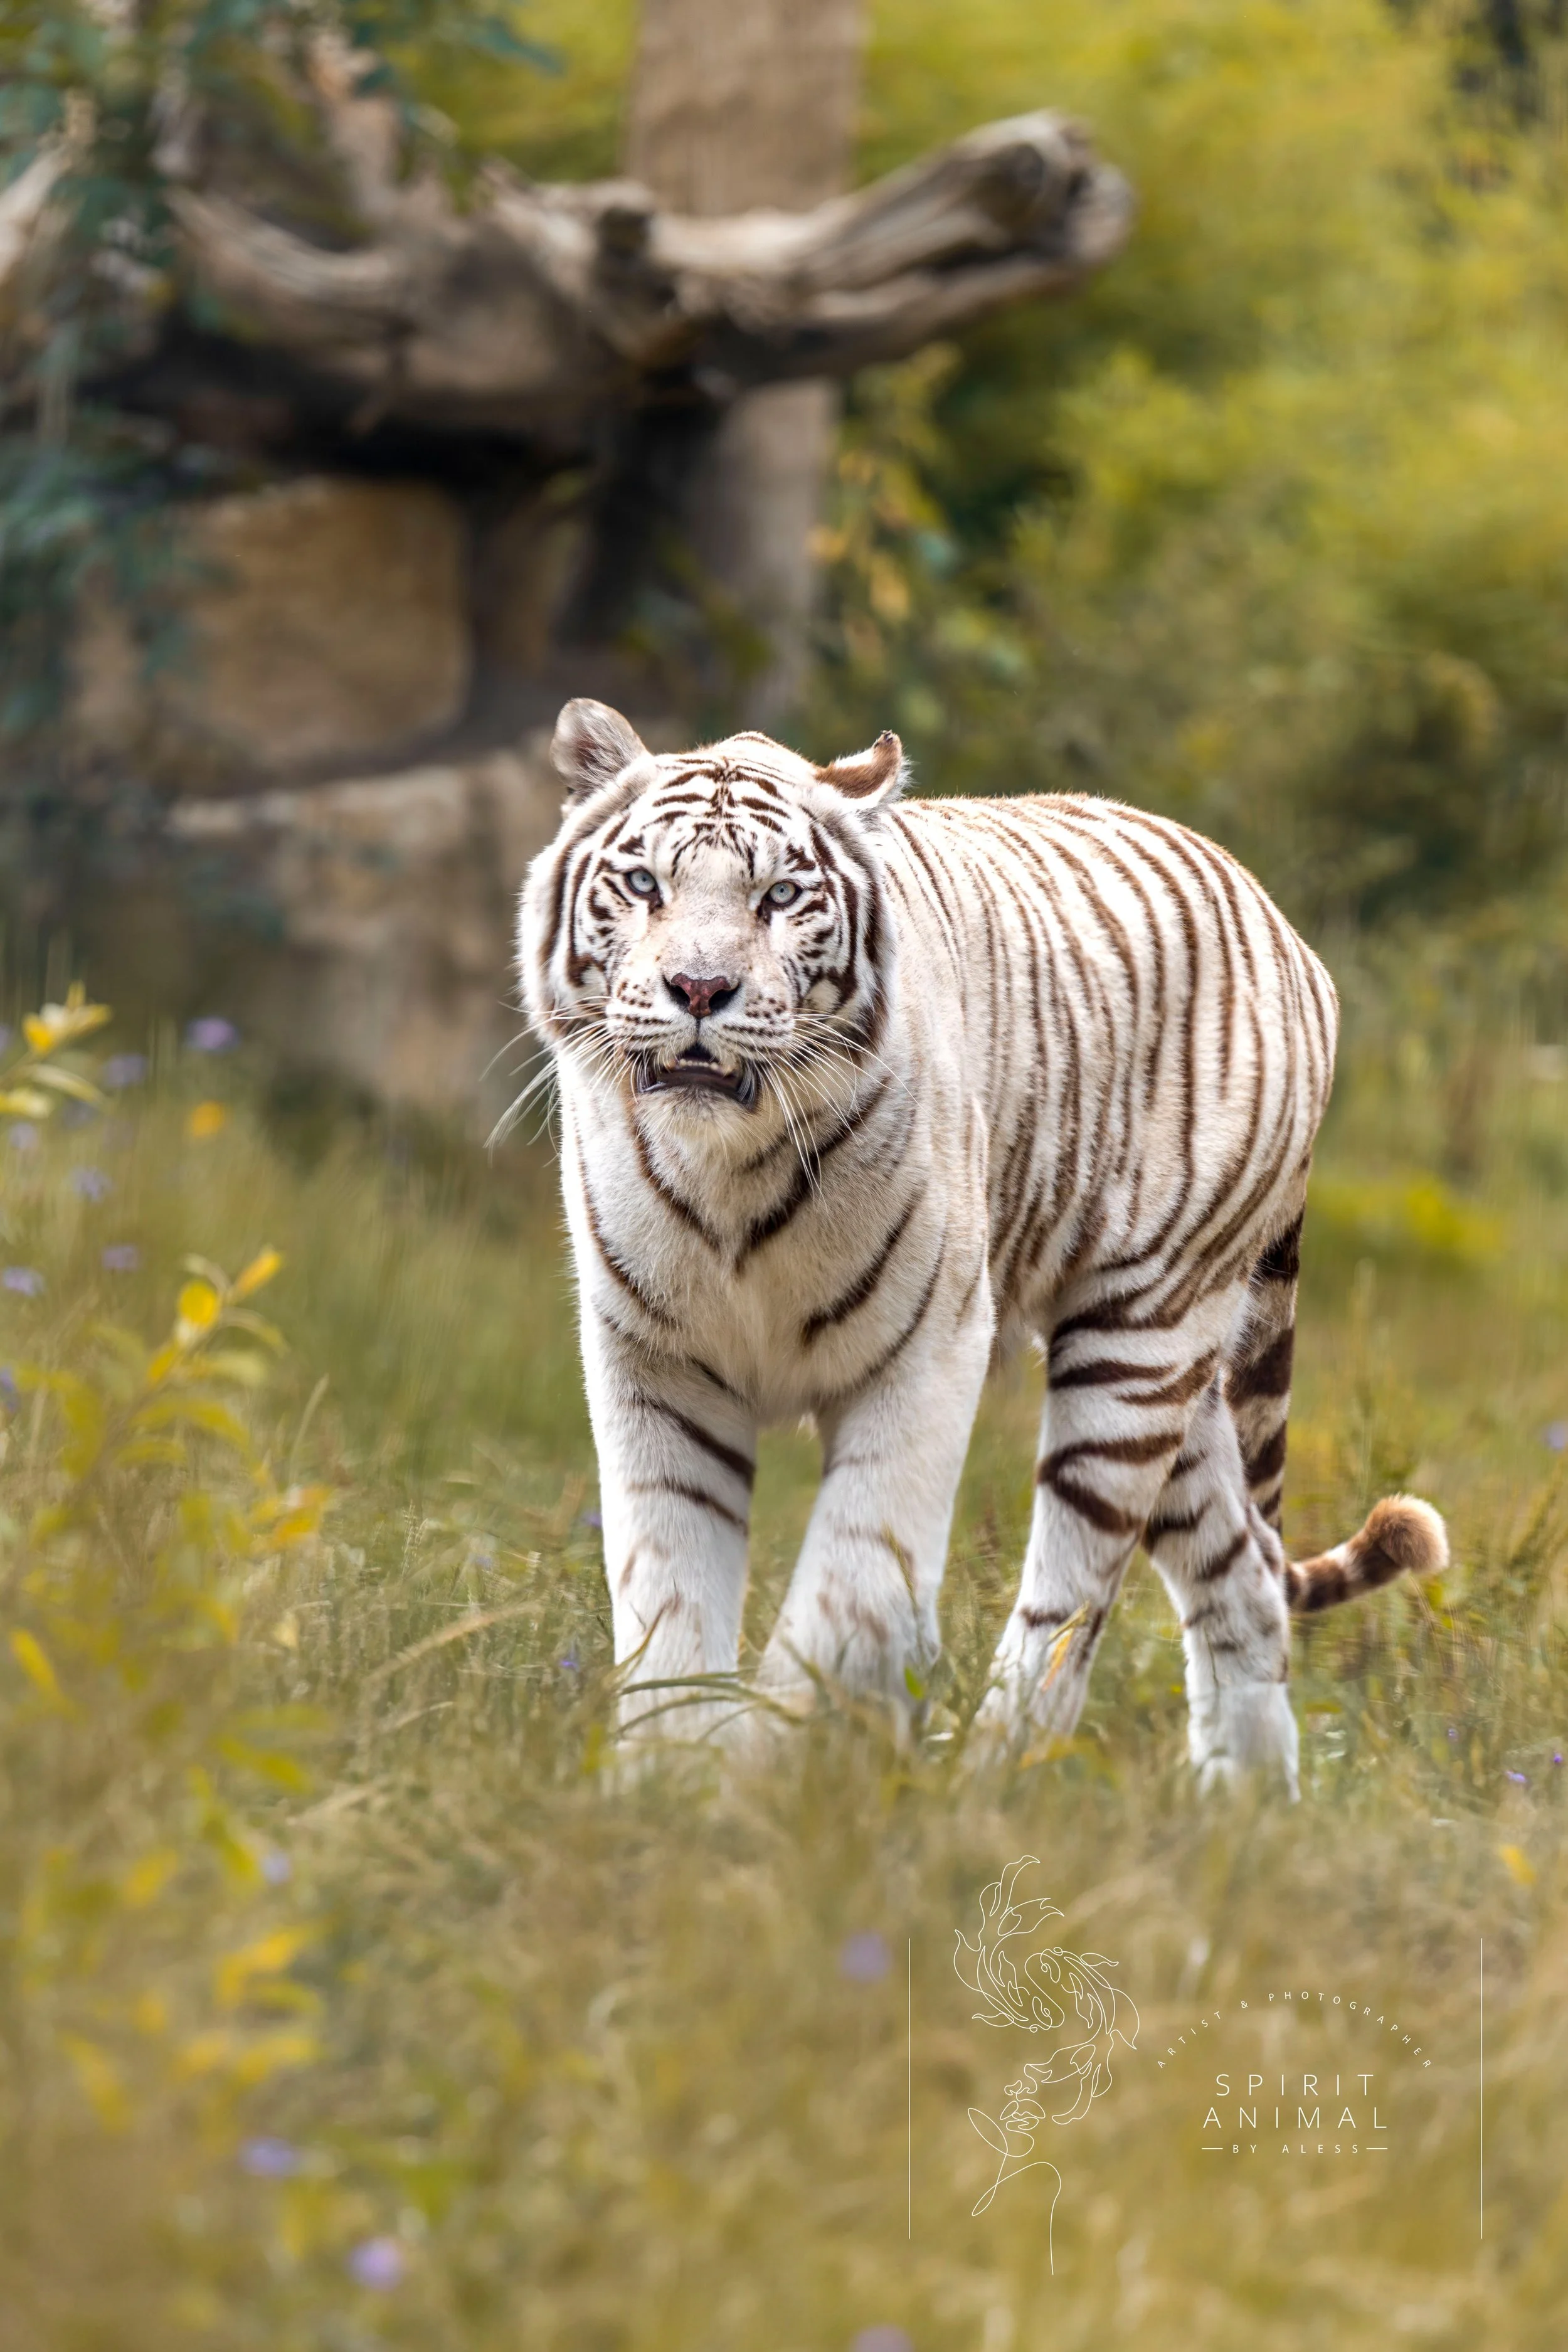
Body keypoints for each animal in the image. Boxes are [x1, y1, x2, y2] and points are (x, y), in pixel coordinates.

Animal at [518, 697, 1447, 1793]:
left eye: (781, 895)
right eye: (643, 884)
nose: (699, 988)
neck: (730, 1171)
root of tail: (1282, 924)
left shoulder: (926, 1349)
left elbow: (852, 1583)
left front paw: (774, 1760)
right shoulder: (655, 1361)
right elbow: (667, 1590)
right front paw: (670, 1777)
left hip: (1137, 1347)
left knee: (1072, 1605)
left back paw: (990, 1775)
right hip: (1185, 1383)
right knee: (1246, 1573)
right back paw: (1245, 1811)